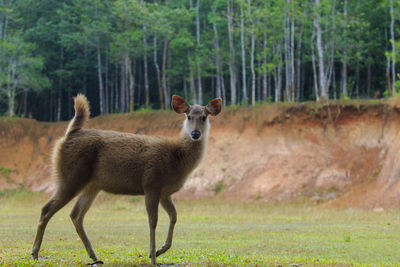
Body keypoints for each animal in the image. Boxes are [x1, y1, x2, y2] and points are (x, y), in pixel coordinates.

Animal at [31, 94, 223, 266]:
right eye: (188, 116)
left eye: (204, 116)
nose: (195, 134)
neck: (177, 159)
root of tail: (69, 133)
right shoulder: (151, 184)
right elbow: (153, 221)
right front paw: (153, 258)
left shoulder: (165, 192)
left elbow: (174, 216)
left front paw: (160, 250)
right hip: (70, 176)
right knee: (46, 209)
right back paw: (35, 253)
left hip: (92, 185)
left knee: (76, 215)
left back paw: (94, 256)